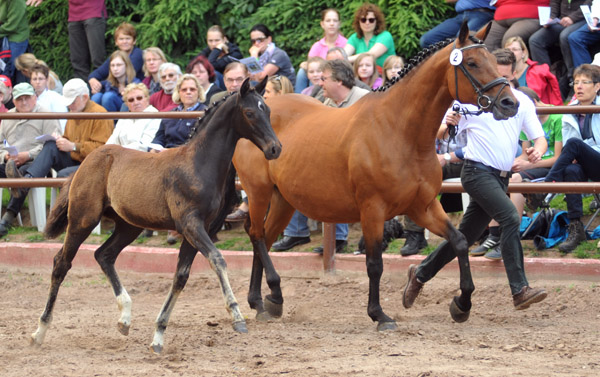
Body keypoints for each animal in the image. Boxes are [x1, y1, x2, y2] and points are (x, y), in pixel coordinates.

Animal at [28, 78, 282, 354]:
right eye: (250, 113)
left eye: (268, 110)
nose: (275, 148)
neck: (198, 164)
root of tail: (86, 162)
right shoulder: (191, 224)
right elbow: (217, 259)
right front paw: (236, 317)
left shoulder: (199, 229)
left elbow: (181, 276)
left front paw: (158, 335)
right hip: (83, 219)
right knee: (61, 263)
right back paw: (39, 331)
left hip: (129, 226)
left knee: (104, 255)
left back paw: (125, 318)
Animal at [232, 22, 516, 328]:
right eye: (473, 63)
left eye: (494, 61)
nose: (510, 103)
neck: (400, 132)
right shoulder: (373, 210)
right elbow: (374, 264)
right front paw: (379, 314)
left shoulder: (422, 207)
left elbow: (460, 241)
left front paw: (462, 304)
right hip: (259, 192)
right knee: (257, 234)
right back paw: (268, 297)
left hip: (283, 200)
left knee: (264, 238)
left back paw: (265, 302)